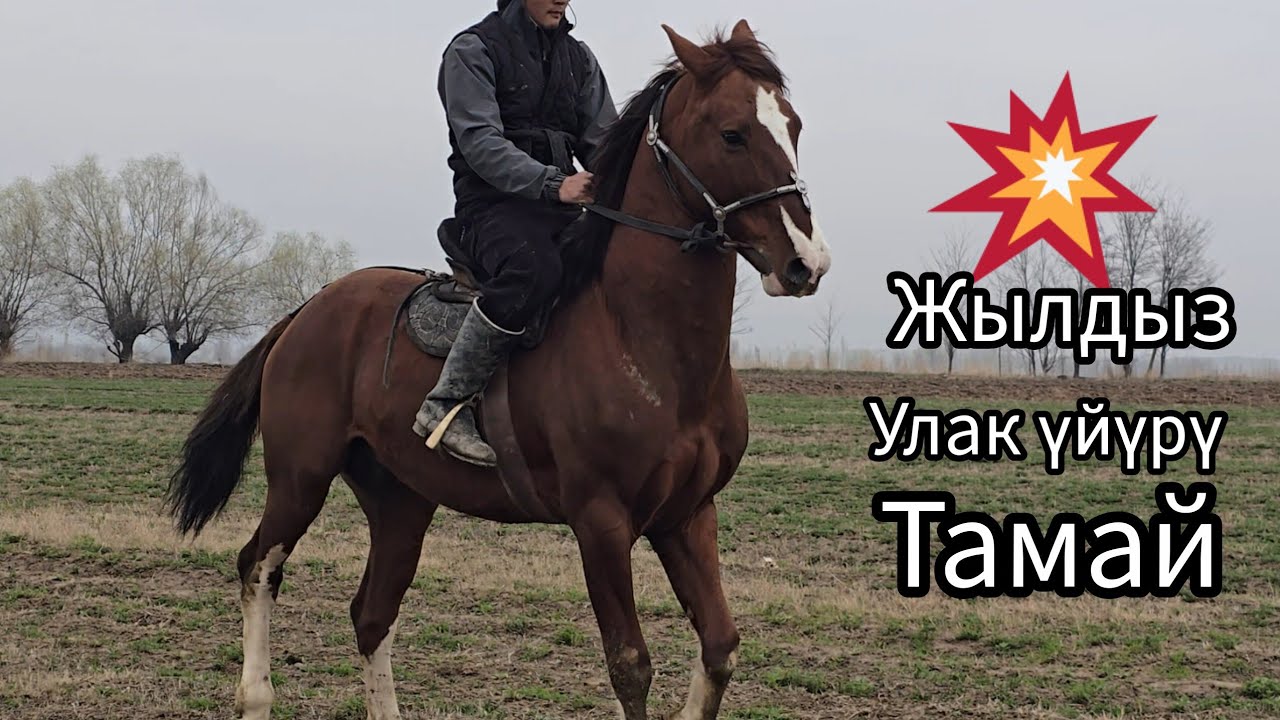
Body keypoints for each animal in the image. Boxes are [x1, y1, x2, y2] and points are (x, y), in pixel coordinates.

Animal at [167, 20, 831, 720]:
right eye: (733, 133)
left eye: (793, 125)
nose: (806, 262)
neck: (648, 345)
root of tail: (310, 308)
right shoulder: (601, 522)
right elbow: (630, 666)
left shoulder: (688, 515)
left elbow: (720, 647)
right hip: (300, 477)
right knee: (258, 566)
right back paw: (255, 694)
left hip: (401, 502)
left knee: (371, 614)